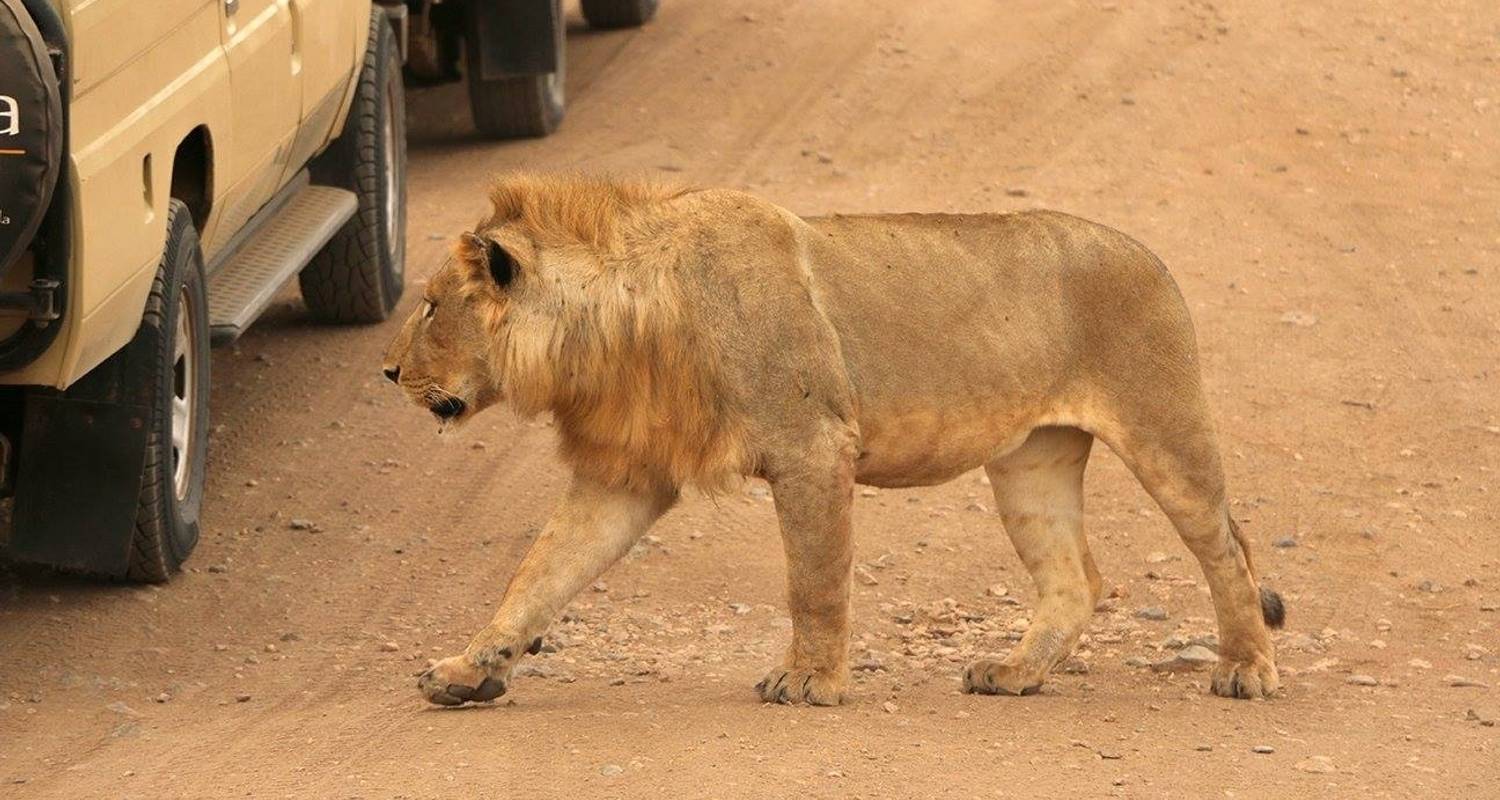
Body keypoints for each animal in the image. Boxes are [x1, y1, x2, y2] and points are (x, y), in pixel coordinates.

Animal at [381, 173, 1284, 705]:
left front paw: (809, 679)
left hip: (1165, 428)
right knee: (1077, 577)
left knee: (1226, 549)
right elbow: (539, 575)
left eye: (429, 306)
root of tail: (1149, 252)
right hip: (1033, 461)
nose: (387, 372)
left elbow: (813, 580)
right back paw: (1015, 673)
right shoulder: (626, 474)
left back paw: (1246, 669)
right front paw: (469, 670)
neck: (617, 324)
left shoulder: (812, 445)